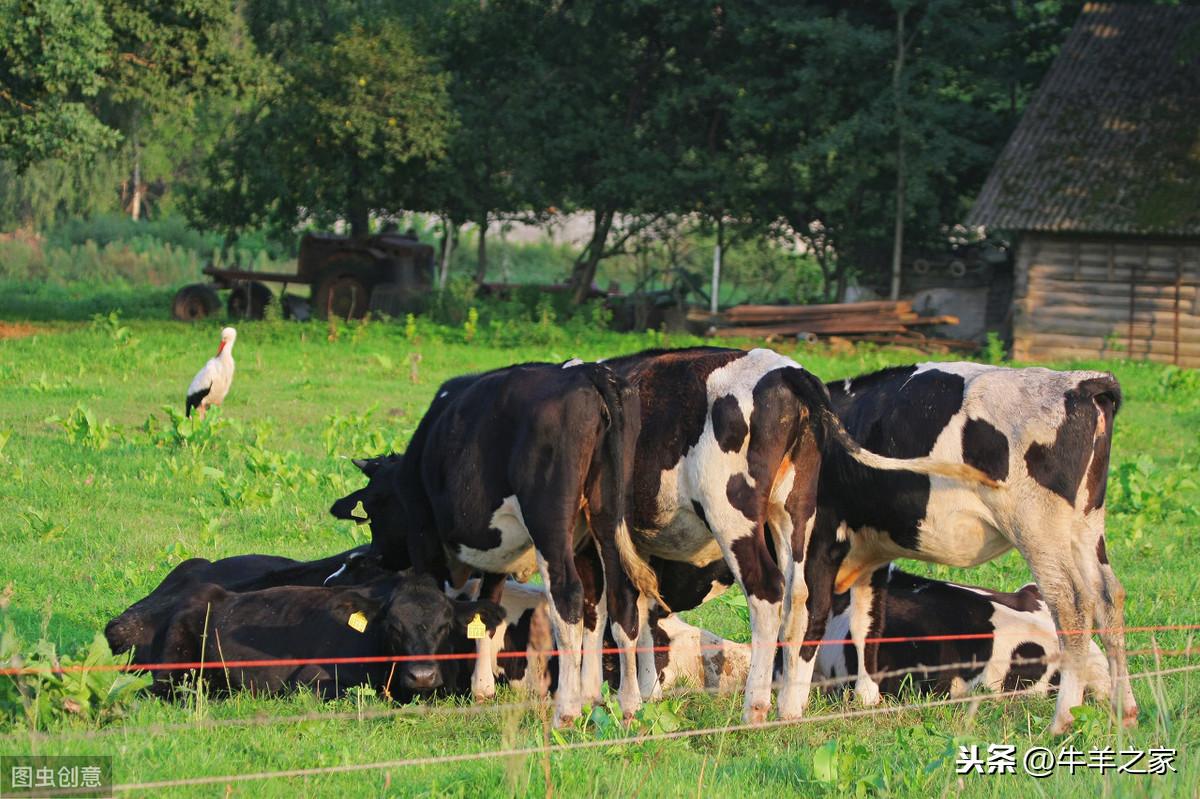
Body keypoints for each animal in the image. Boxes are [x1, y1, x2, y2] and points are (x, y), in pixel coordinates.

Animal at [811, 359, 1128, 729]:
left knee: (1072, 605)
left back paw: (1062, 721)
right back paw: (1126, 711)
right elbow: (866, 618)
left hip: (1038, 527)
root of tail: (1083, 382)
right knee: (1108, 596)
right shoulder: (870, 547)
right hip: (1084, 527)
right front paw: (864, 697)